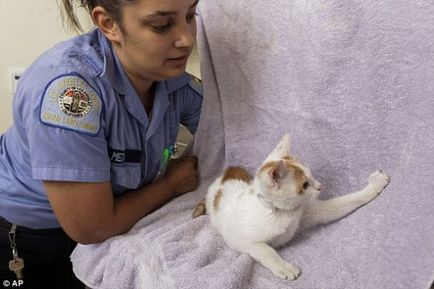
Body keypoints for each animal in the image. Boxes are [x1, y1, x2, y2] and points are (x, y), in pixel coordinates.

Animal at [192, 133, 390, 280]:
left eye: (311, 176)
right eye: (305, 185)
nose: (320, 186)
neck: (282, 213)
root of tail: (225, 175)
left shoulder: (307, 211)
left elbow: (346, 201)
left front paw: (376, 184)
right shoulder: (238, 239)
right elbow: (265, 250)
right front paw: (284, 267)